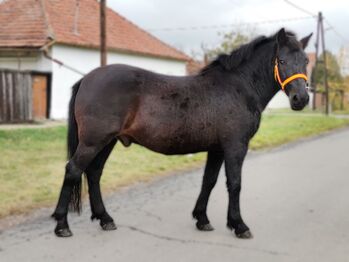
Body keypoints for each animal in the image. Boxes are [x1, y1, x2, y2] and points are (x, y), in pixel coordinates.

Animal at [53, 28, 312, 237]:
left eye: (305, 61)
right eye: (281, 60)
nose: (301, 99)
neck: (238, 87)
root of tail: (87, 78)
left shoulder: (217, 149)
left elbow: (209, 181)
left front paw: (202, 219)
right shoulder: (235, 146)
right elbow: (234, 183)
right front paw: (239, 225)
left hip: (107, 141)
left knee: (94, 173)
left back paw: (105, 219)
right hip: (93, 141)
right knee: (73, 170)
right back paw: (62, 225)